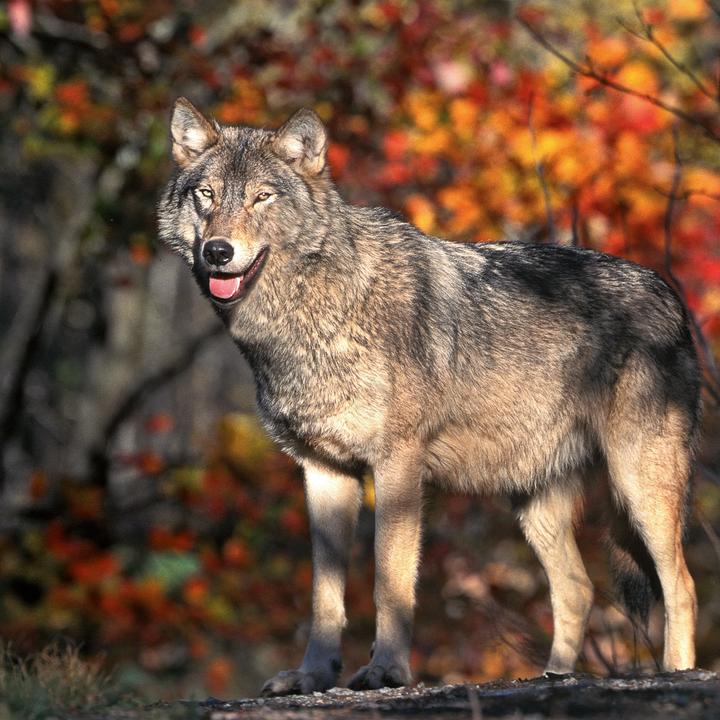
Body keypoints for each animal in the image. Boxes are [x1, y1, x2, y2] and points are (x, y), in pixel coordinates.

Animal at [158, 98, 700, 695]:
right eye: (206, 195)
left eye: (262, 197)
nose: (218, 251)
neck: (310, 315)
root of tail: (667, 291)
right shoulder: (323, 471)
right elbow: (325, 596)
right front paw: (311, 676)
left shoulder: (398, 466)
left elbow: (390, 583)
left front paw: (386, 672)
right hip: (535, 502)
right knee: (578, 589)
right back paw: (553, 678)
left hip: (638, 485)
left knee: (681, 583)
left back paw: (679, 672)